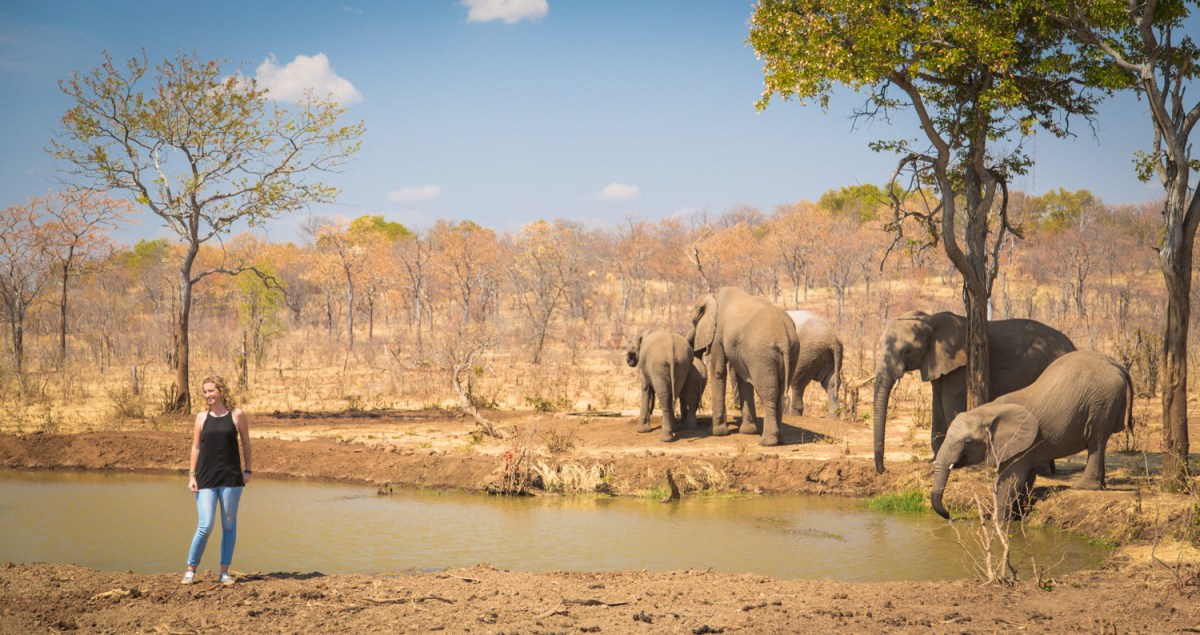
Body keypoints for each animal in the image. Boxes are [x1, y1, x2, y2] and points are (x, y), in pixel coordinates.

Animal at [688, 287, 799, 446]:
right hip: (791, 353)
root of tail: (783, 335)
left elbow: (718, 371)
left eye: (693, 320)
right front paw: (747, 431)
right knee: (779, 391)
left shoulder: (718, 333)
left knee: (769, 393)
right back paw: (780, 440)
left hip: (763, 355)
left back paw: (767, 442)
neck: (713, 296)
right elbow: (743, 379)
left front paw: (716, 433)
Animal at [873, 311, 1076, 473]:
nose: (883, 470)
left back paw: (1043, 470)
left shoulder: (960, 367)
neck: (930, 319)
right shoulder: (938, 364)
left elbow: (949, 402)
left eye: (907, 351)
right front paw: (934, 460)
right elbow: (937, 404)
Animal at [930, 350, 1133, 520]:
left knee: (1096, 440)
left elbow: (1011, 481)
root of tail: (1118, 365)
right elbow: (1026, 479)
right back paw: (1101, 485)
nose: (949, 515)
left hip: (1102, 401)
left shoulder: (1017, 445)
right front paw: (1015, 516)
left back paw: (1083, 487)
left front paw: (997, 522)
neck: (988, 410)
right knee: (1100, 441)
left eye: (968, 441)